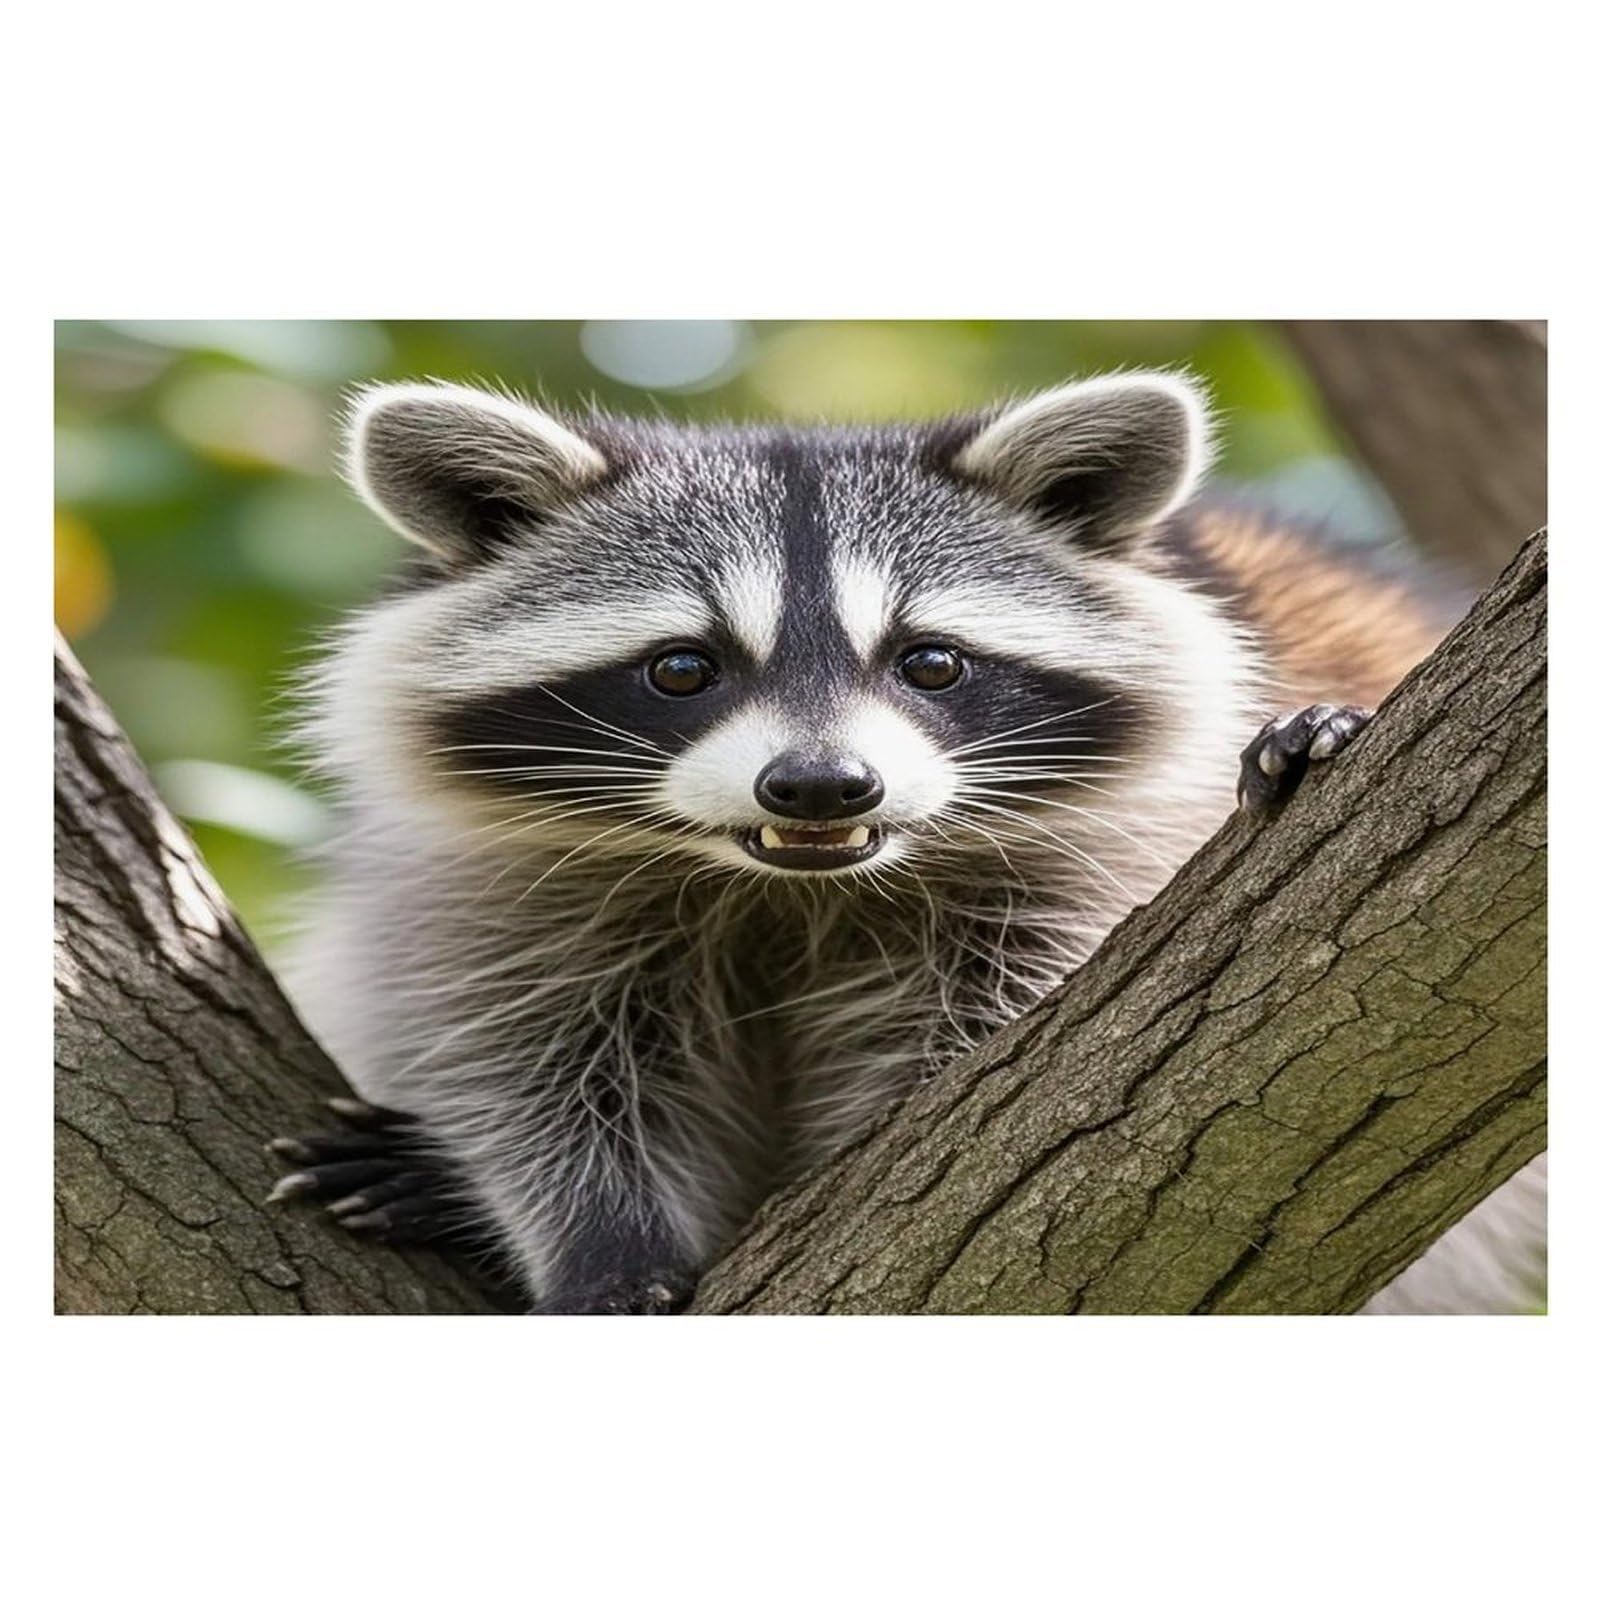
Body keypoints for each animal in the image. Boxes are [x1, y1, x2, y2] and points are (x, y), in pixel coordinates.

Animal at [269, 372, 1543, 1315]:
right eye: (682, 667)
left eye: (930, 661)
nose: (822, 784)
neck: (787, 883)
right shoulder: (504, 880)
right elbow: (528, 1052)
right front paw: (597, 1238)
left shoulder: (1105, 858)